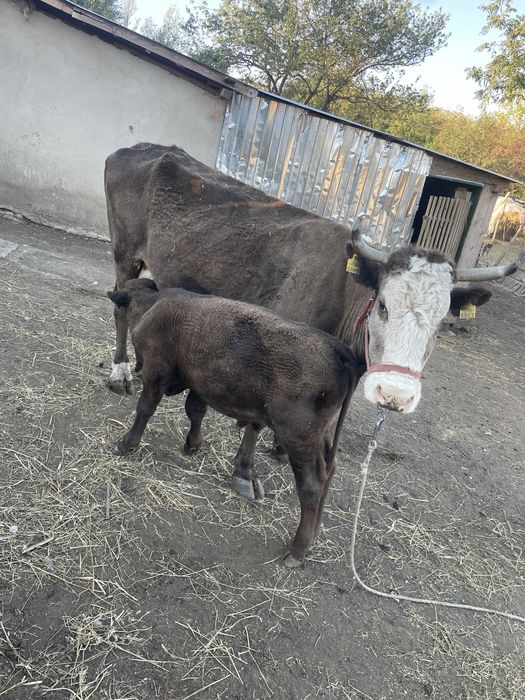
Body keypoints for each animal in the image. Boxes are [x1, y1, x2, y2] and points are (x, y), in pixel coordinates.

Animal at [105, 144, 516, 417]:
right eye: (383, 305)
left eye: (442, 322)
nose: (395, 395)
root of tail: (143, 148)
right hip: (124, 251)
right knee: (120, 307)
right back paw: (120, 372)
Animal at [107, 280, 362, 567]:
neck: (153, 305)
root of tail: (337, 348)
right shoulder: (198, 382)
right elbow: (195, 410)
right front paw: (193, 444)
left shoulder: (156, 371)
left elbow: (145, 409)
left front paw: (126, 444)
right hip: (321, 437)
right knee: (328, 473)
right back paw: (313, 537)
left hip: (299, 439)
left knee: (311, 486)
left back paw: (298, 549)